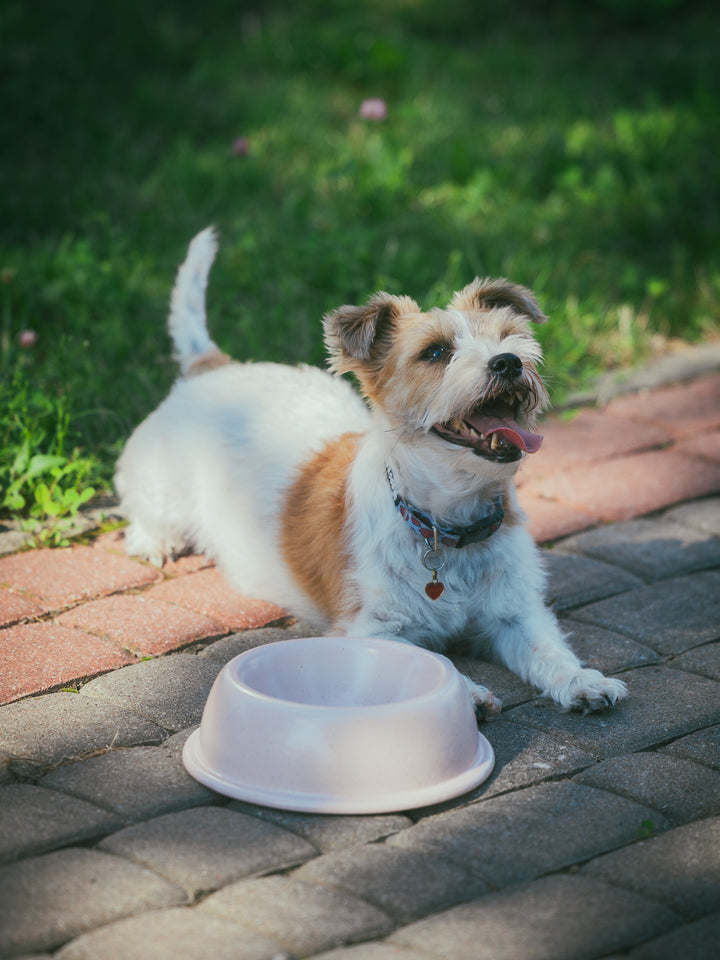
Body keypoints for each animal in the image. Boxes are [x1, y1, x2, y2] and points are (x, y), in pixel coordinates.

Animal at [115, 229, 628, 716]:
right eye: (435, 352)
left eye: (511, 337)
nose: (509, 362)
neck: (446, 525)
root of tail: (212, 368)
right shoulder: (367, 627)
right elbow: (430, 660)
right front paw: (467, 694)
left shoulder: (516, 615)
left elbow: (551, 652)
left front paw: (583, 681)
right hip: (162, 488)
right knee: (146, 515)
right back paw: (155, 541)